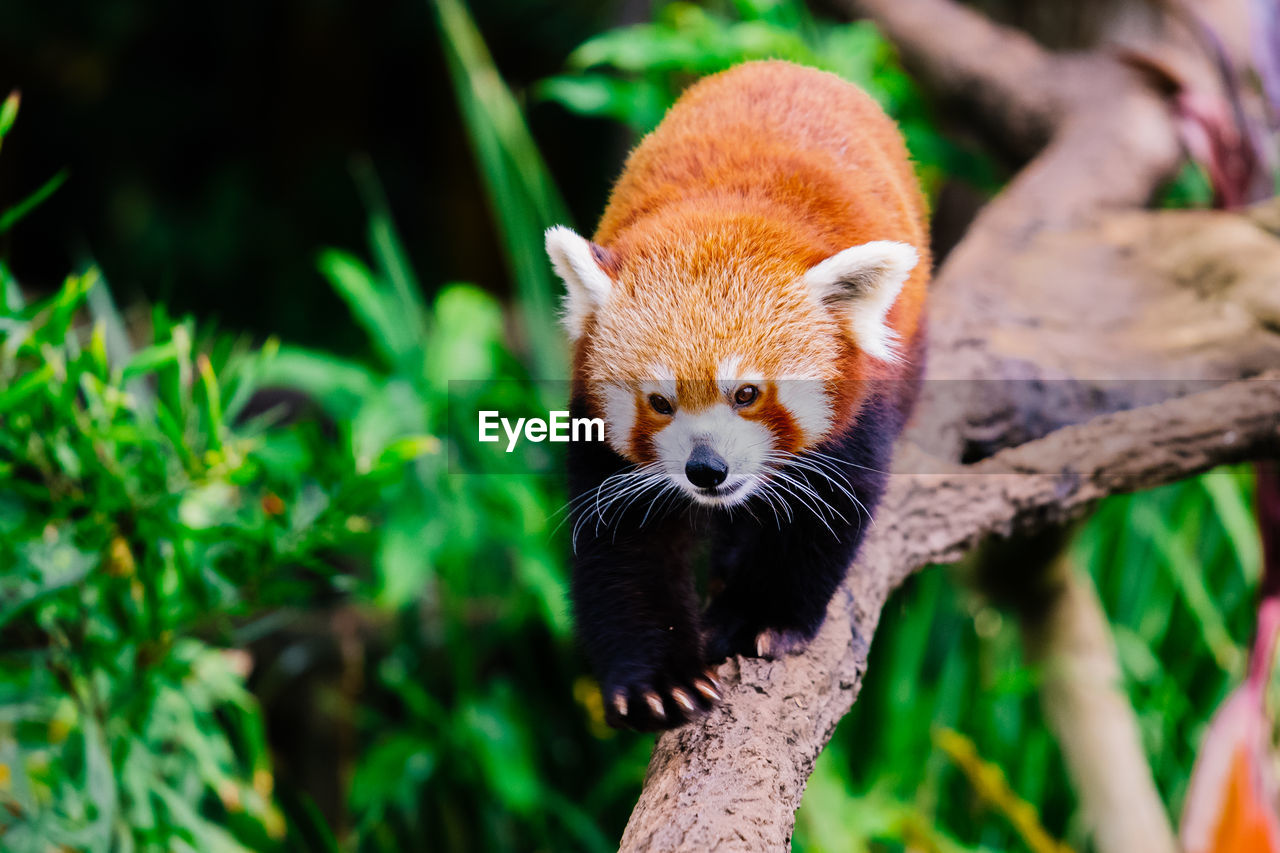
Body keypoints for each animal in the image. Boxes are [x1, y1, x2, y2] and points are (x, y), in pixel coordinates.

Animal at [545, 59, 926, 727]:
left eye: (747, 393)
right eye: (660, 402)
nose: (707, 470)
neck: (730, 214)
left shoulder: (859, 409)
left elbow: (825, 512)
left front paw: (757, 618)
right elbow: (624, 546)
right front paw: (659, 681)